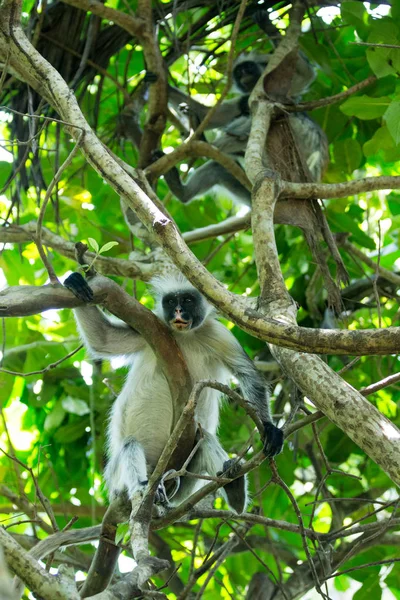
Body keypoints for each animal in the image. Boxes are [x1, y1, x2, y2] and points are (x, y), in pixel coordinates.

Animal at [65, 270, 284, 512]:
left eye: (187, 300)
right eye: (171, 301)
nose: (178, 311)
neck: (184, 335)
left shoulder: (219, 335)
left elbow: (249, 375)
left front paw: (270, 429)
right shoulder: (151, 325)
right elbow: (102, 338)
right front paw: (76, 282)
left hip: (186, 476)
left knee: (203, 438)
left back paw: (234, 491)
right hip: (117, 478)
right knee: (130, 444)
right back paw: (143, 488)